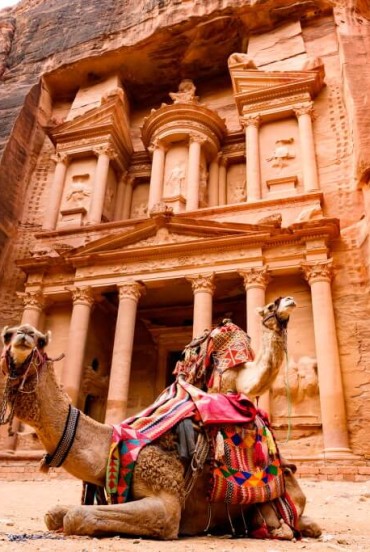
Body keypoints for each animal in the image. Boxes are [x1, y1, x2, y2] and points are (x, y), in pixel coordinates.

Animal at [0, 296, 320, 540]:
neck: (113, 444)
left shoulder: (167, 503)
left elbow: (78, 517)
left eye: (41, 341)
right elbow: (54, 514)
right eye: (7, 335)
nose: (24, 334)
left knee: (299, 520)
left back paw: (279, 527)